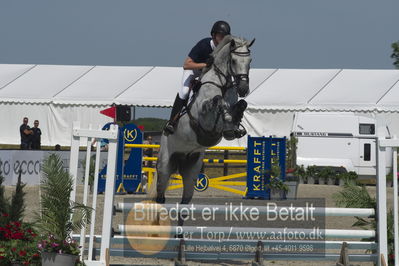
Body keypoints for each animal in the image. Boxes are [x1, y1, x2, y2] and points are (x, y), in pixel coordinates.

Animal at [153, 34, 253, 208]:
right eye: (233, 61)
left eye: (250, 61)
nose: (243, 89)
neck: (222, 84)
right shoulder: (203, 116)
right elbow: (218, 101)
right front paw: (228, 118)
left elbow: (241, 105)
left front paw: (235, 125)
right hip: (165, 164)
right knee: (160, 195)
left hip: (191, 167)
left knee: (185, 199)